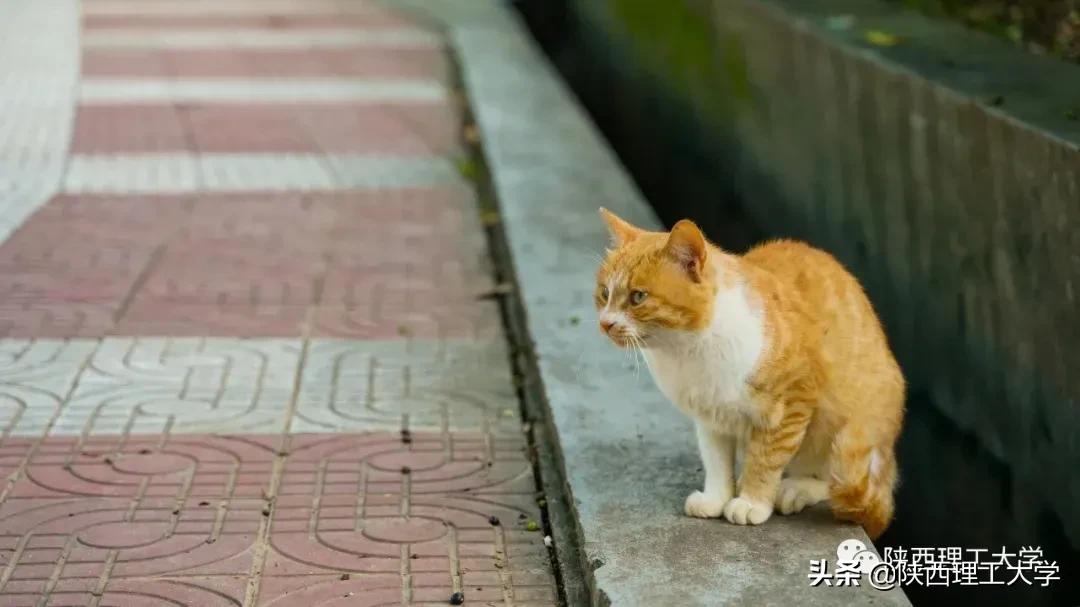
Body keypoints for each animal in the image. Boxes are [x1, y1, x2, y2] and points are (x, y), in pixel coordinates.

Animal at [596, 209, 907, 537]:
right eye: (604, 293)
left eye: (637, 297)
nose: (605, 323)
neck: (687, 351)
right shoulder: (710, 417)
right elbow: (716, 461)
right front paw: (716, 498)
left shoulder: (790, 405)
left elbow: (766, 460)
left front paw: (752, 501)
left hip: (846, 425)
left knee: (836, 480)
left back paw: (795, 488)